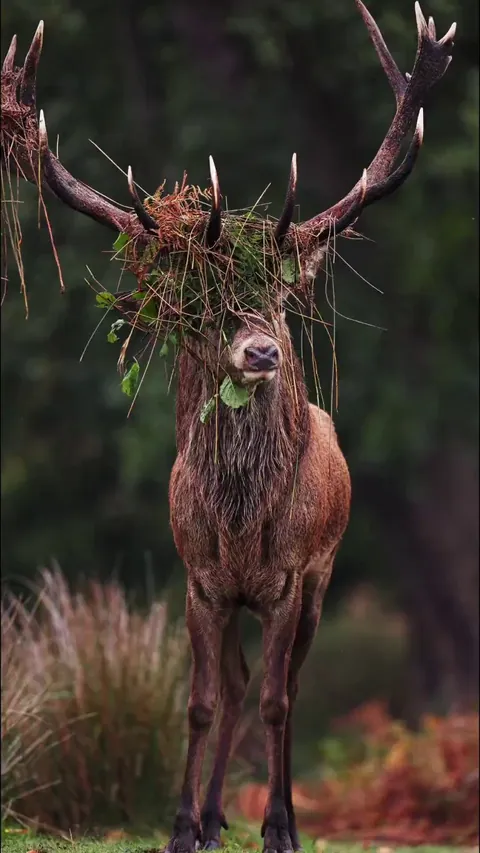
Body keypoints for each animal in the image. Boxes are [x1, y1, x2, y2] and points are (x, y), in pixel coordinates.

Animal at [2, 2, 455, 851]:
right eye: (203, 310)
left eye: (278, 297)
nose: (263, 351)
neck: (241, 529)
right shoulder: (199, 580)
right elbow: (201, 701)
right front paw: (183, 824)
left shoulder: (288, 579)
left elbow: (279, 700)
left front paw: (276, 825)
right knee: (240, 684)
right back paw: (215, 816)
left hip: (324, 576)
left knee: (290, 687)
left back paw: (281, 816)